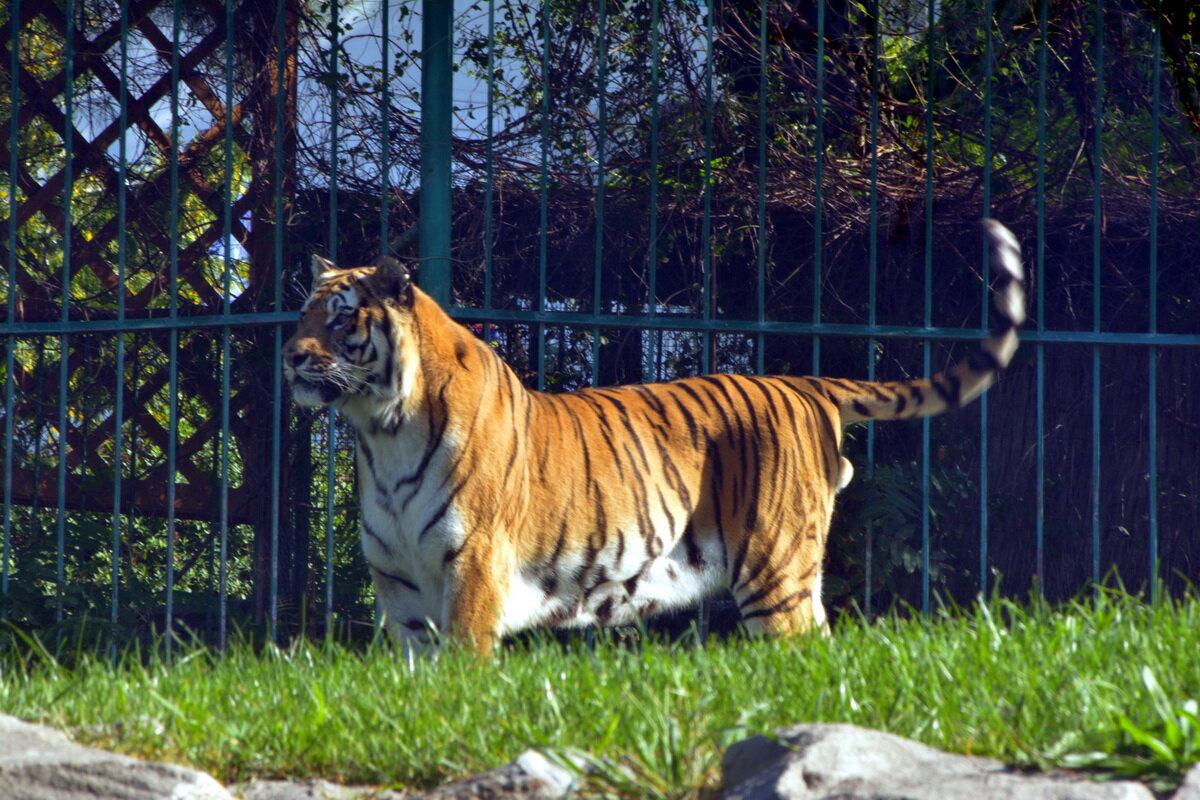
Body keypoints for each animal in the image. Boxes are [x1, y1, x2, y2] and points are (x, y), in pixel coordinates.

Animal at [278, 220, 1022, 657]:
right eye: (302, 313)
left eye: (339, 317)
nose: (289, 355)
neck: (381, 433)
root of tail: (804, 384)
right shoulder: (400, 585)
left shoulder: (474, 566)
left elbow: (464, 665)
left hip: (776, 568)